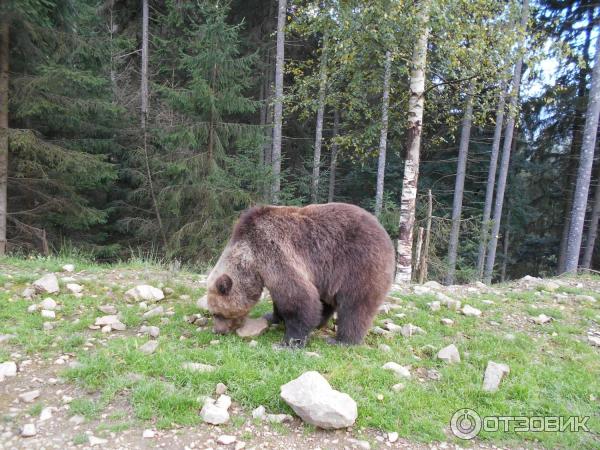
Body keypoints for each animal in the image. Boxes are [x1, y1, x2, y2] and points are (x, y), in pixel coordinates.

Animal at [205, 202, 394, 346]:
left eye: (217, 313)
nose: (218, 330)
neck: (250, 258)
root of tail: (384, 232)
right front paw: (273, 316)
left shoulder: (274, 253)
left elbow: (298, 297)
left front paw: (289, 341)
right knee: (327, 301)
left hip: (359, 264)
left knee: (355, 306)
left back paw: (342, 340)